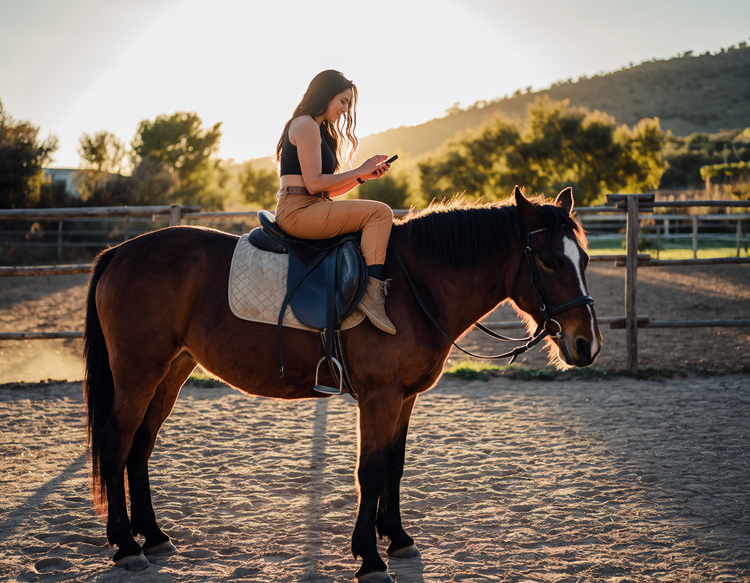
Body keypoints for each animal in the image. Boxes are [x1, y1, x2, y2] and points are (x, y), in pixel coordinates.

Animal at [82, 186, 602, 582]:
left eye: (585, 259)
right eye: (551, 262)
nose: (587, 344)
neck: (414, 287)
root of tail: (120, 252)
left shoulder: (404, 398)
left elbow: (394, 465)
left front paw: (398, 539)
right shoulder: (379, 398)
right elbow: (369, 471)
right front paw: (369, 558)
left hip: (170, 371)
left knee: (140, 446)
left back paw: (153, 536)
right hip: (139, 374)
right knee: (116, 441)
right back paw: (127, 544)